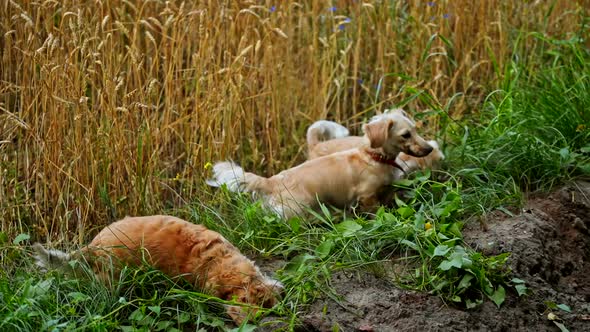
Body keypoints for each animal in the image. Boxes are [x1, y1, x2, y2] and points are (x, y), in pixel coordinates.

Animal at [208, 109, 434, 219]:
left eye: (416, 130)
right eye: (406, 135)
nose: (429, 149)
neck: (374, 158)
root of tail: (272, 181)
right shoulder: (366, 195)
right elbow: (374, 210)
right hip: (297, 208)